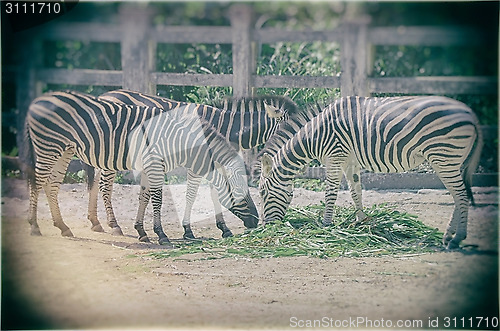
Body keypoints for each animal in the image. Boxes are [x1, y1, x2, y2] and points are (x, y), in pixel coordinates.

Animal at [23, 89, 260, 245]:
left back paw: (63, 227)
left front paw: (142, 232)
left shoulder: (150, 165)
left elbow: (144, 195)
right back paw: (34, 226)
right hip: (49, 146)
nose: (257, 222)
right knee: (38, 182)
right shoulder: (156, 164)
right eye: (240, 190)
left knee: (51, 185)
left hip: (64, 149)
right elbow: (158, 198)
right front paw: (161, 235)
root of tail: (39, 100)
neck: (179, 140)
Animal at [84, 89, 298, 240]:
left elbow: (214, 193)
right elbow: (195, 194)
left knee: (94, 183)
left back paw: (96, 222)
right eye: (290, 129)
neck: (224, 127)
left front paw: (223, 228)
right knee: (105, 186)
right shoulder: (200, 162)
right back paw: (114, 225)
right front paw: (188, 230)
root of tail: (104, 95)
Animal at [260, 96, 482, 249]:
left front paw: (326, 225)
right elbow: (355, 191)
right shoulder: (349, 160)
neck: (314, 136)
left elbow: (330, 193)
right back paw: (449, 236)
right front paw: (361, 222)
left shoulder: (335, 156)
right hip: (449, 160)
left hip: (444, 157)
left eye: (262, 193)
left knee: (461, 195)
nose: (264, 227)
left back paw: (457, 239)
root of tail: (470, 114)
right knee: (458, 195)